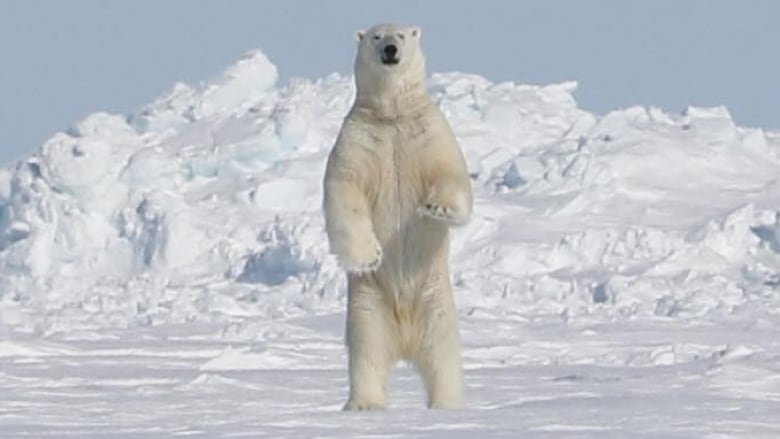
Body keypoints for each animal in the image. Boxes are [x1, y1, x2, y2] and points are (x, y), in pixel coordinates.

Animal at [320, 22, 472, 410]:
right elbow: (344, 189)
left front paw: (436, 207)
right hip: (368, 306)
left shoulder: (427, 131)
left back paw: (447, 402)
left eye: (402, 35)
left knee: (443, 353)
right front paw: (368, 255)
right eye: (376, 36)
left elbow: (450, 171)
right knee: (367, 352)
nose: (390, 49)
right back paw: (364, 402)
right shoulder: (358, 140)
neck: (392, 116)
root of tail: (404, 340)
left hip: (436, 301)